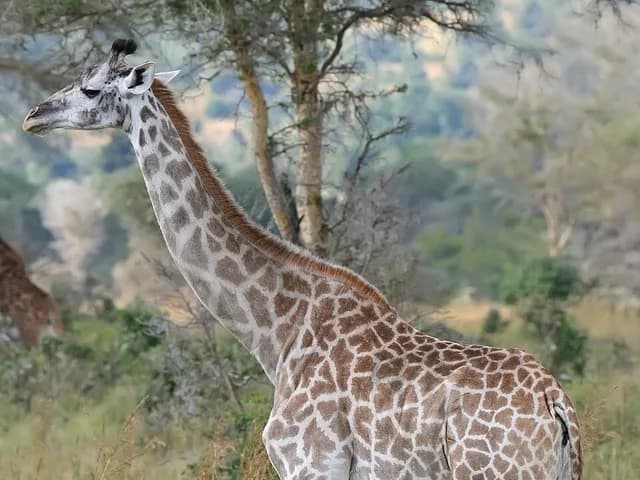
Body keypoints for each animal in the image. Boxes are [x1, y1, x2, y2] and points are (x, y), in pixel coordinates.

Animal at [23, 39, 581, 479]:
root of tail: (556, 406)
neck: (277, 332)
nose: (34, 116)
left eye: (91, 89)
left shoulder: (312, 463)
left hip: (494, 472)